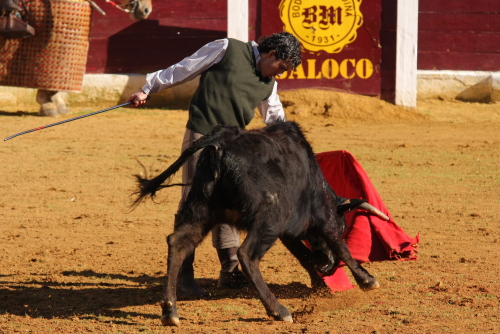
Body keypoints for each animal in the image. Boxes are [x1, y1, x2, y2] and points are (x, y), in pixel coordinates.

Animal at [132, 120, 386, 326]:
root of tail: (222, 141)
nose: (327, 265)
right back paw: (279, 310)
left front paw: (322, 288)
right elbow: (341, 247)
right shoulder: (323, 219)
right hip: (270, 218)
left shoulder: (288, 233)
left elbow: (304, 256)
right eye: (343, 225)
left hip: (200, 208)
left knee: (179, 243)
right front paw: (367, 280)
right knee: (247, 255)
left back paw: (170, 311)